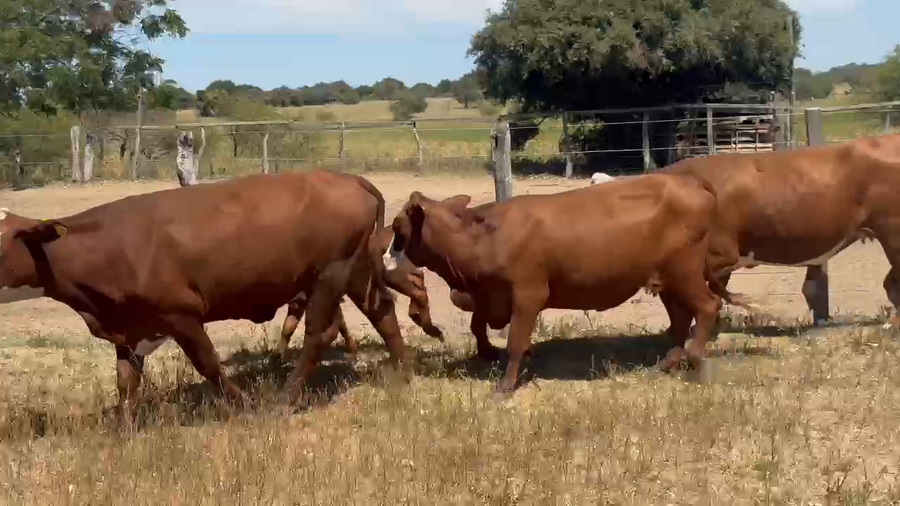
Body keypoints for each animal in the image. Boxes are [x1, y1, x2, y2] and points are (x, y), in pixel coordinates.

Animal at [0, 170, 408, 419]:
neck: (111, 246)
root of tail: (347, 178)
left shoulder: (179, 314)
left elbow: (208, 363)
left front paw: (245, 404)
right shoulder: (129, 327)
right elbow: (126, 380)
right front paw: (123, 427)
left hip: (328, 275)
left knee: (318, 335)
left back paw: (285, 398)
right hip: (355, 270)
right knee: (383, 312)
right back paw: (402, 370)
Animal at [275, 225, 444, 359]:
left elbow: (341, 324)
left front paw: (352, 348)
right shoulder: (299, 303)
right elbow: (288, 328)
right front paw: (279, 355)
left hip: (394, 276)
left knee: (419, 291)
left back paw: (431, 328)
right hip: (399, 275)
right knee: (419, 281)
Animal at [382, 173, 745, 395]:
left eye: (397, 226)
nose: (384, 256)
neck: (482, 238)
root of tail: (693, 184)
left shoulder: (528, 294)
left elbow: (515, 341)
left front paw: (505, 386)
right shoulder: (490, 294)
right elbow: (477, 325)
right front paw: (486, 354)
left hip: (684, 271)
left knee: (708, 306)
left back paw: (693, 360)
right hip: (665, 278)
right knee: (682, 319)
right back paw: (666, 365)